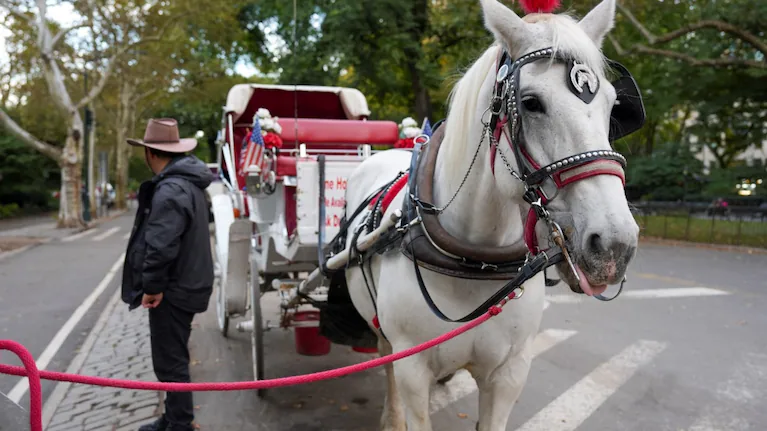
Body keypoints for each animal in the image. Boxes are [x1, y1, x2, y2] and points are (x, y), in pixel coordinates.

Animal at [341, 0, 641, 429]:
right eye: (531, 103)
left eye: (613, 105)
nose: (614, 246)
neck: (474, 260)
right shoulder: (413, 370)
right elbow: (403, 384)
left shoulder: (510, 373)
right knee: (385, 361)